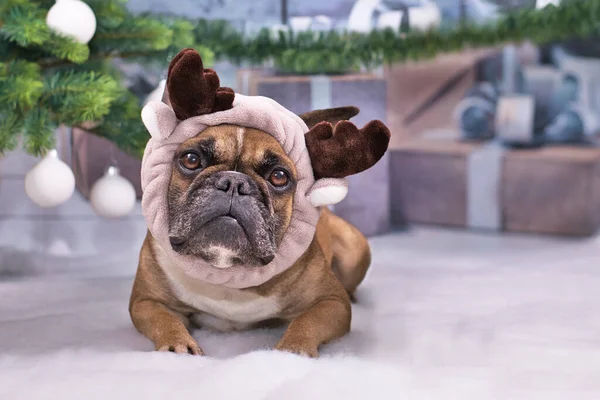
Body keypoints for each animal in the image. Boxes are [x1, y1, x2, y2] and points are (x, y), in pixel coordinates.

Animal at [129, 48, 390, 358]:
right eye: (191, 160)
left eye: (279, 177)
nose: (234, 183)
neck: (228, 274)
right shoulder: (146, 301)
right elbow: (163, 320)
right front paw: (177, 346)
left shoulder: (332, 302)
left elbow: (307, 322)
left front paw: (292, 350)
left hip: (354, 252)